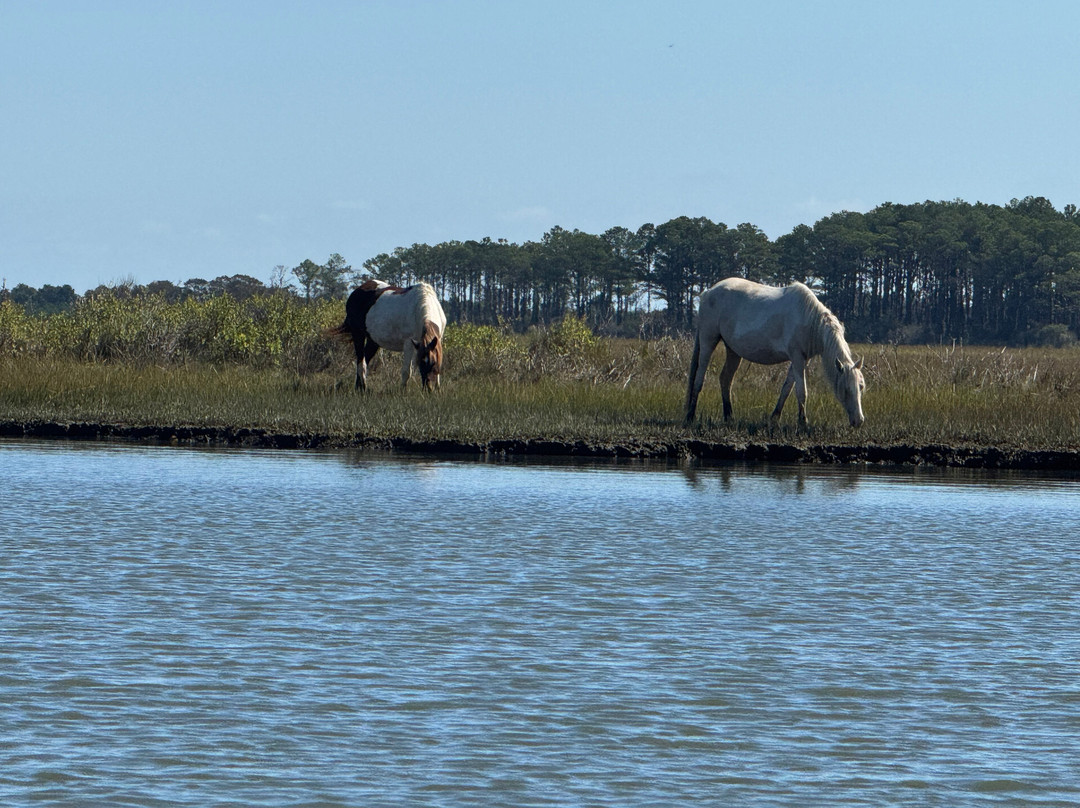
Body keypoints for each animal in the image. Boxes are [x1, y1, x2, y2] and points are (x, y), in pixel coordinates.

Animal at [684, 277, 865, 428]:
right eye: (846, 389)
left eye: (861, 387)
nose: (859, 421)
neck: (810, 320)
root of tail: (707, 292)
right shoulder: (797, 357)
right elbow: (801, 391)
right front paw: (803, 423)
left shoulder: (802, 359)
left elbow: (787, 388)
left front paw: (775, 417)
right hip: (708, 341)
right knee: (699, 378)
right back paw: (691, 416)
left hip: (733, 351)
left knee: (725, 380)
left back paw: (729, 417)